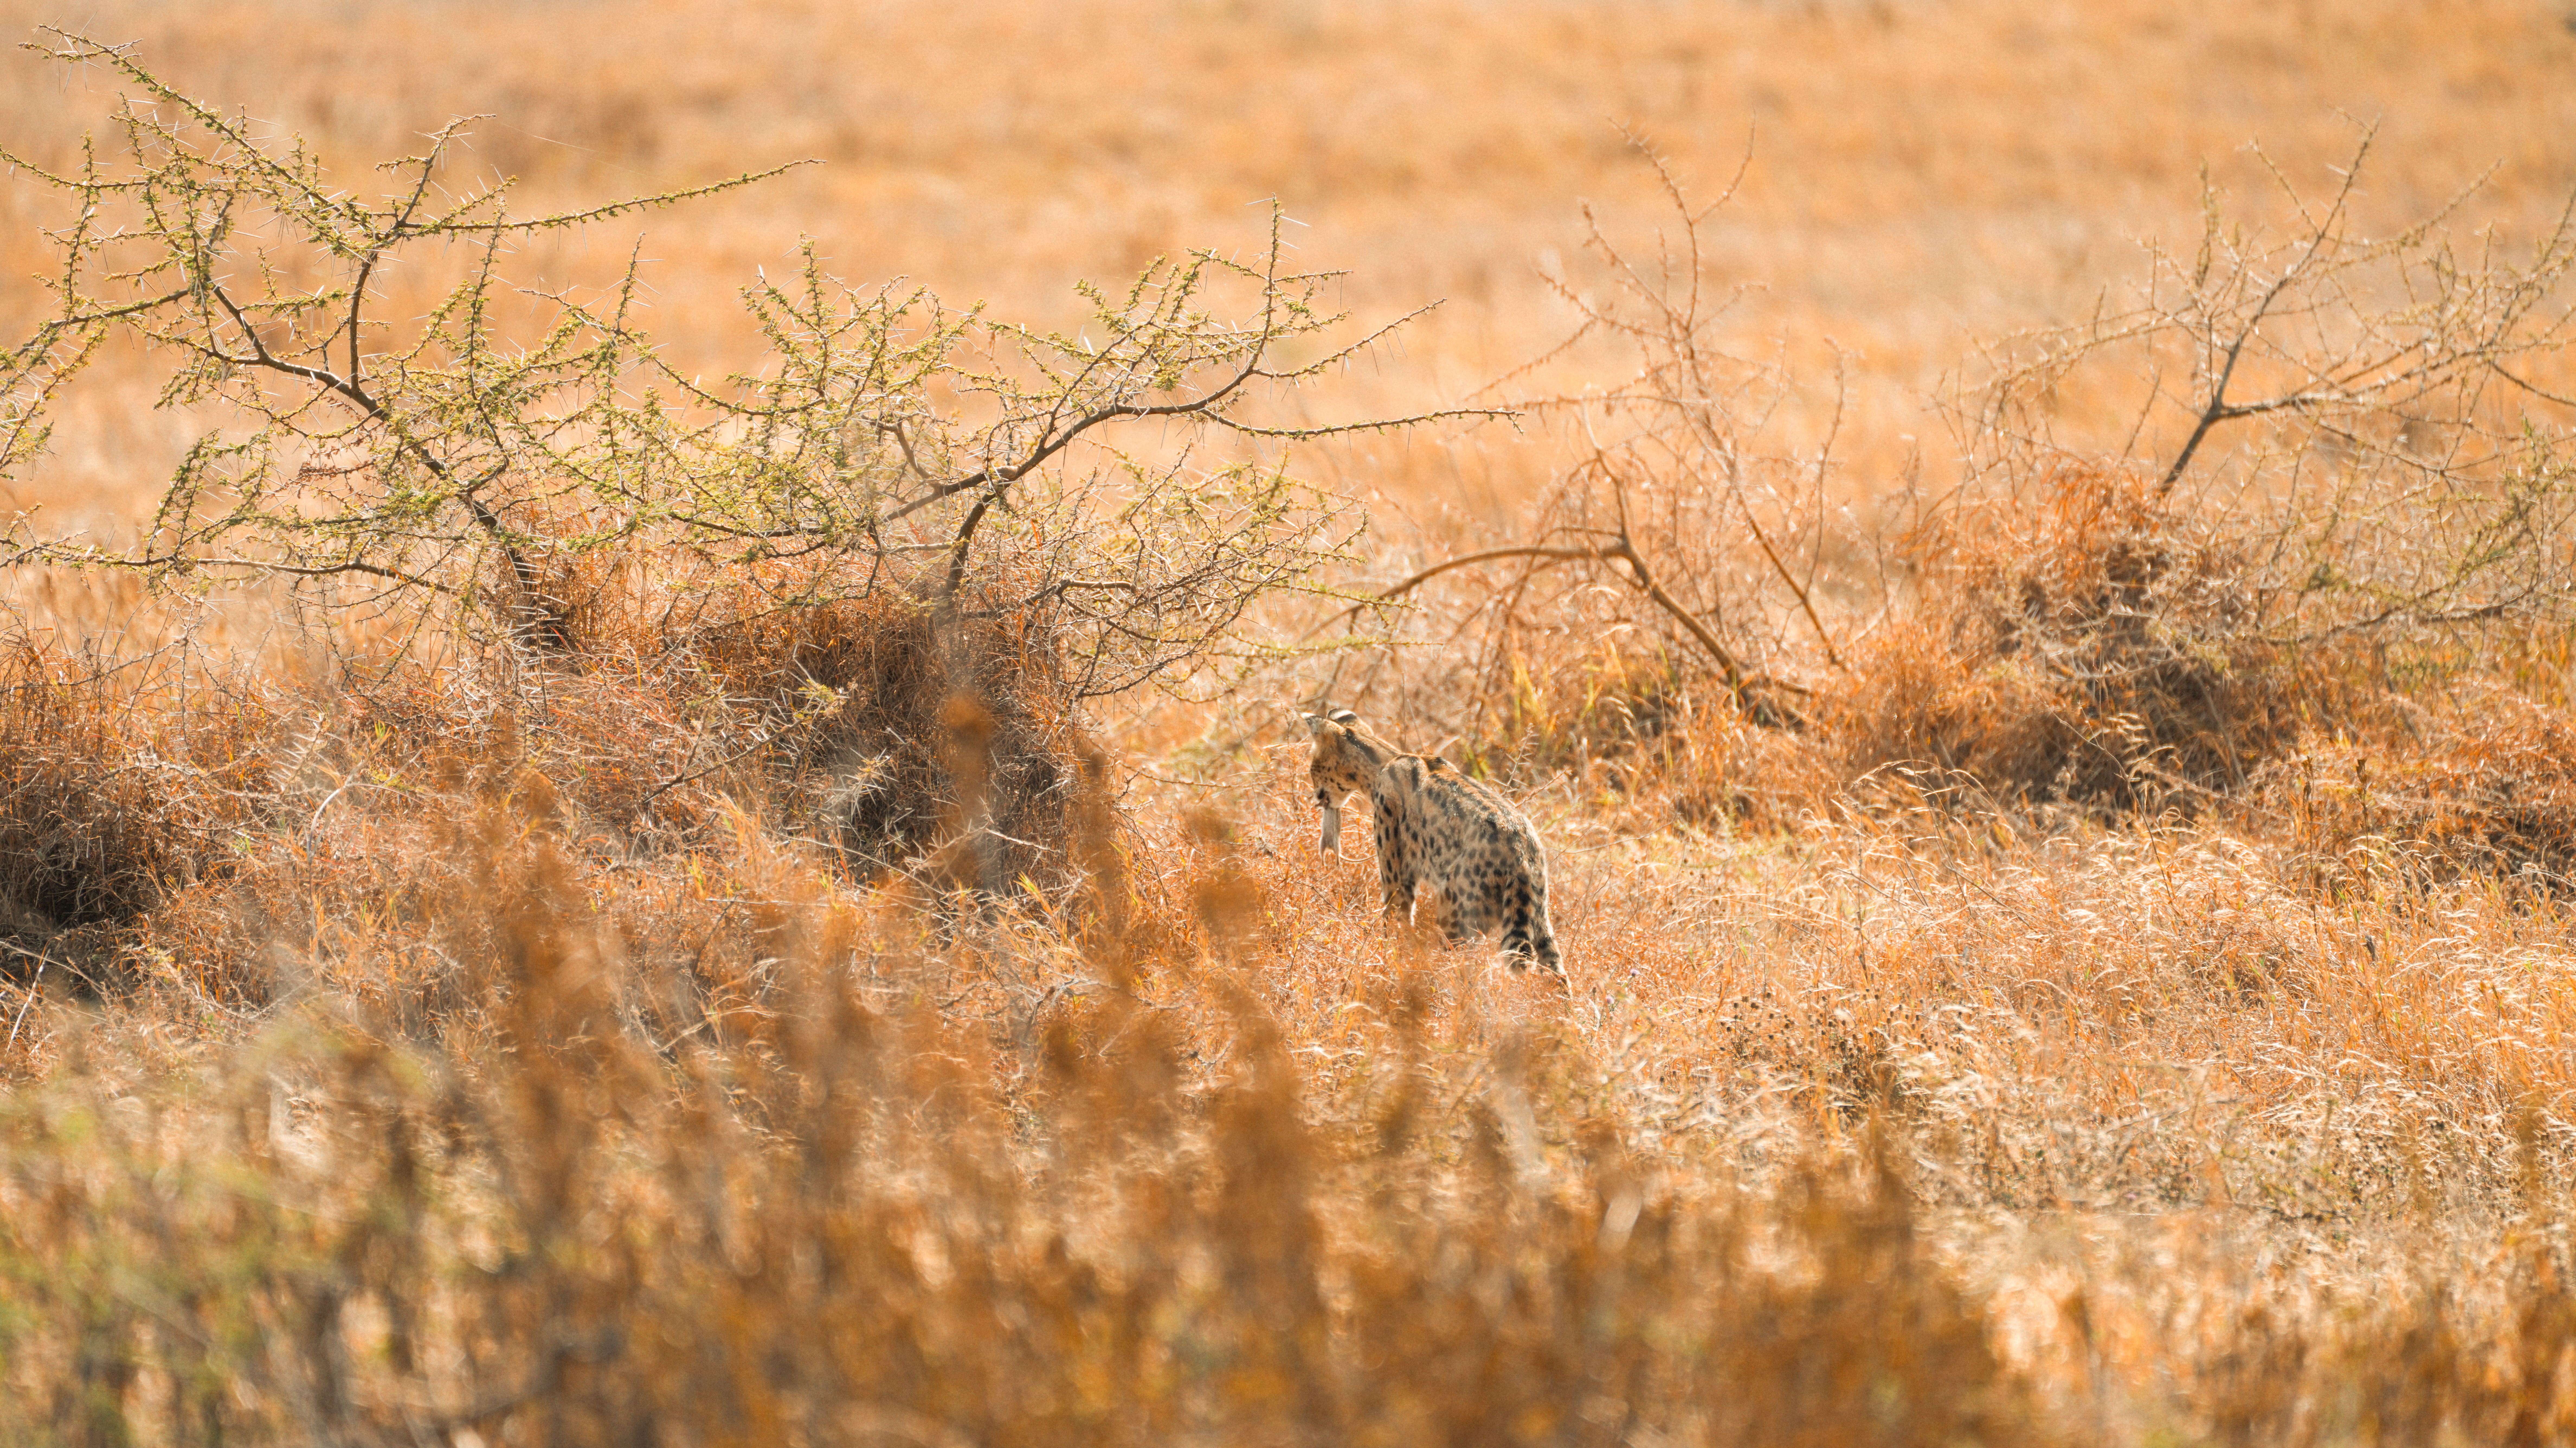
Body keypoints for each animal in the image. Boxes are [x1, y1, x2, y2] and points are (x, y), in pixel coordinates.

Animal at [1301, 707, 1562, 973]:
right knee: (1555, 973)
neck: (1383, 763)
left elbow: (1394, 926)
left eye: (1313, 768)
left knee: (1459, 968)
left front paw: (1388, 963)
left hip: (1457, 915)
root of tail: (1521, 847)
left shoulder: (1397, 882)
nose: (1315, 797)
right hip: (1539, 920)